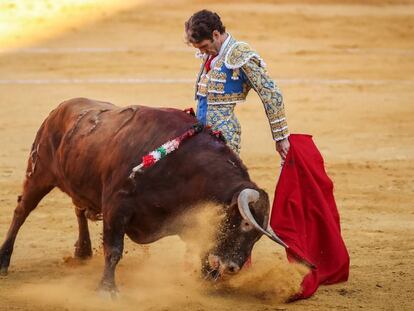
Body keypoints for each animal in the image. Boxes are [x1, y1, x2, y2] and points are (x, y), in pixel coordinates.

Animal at [0, 99, 284, 294]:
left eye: (258, 235)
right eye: (245, 223)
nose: (233, 267)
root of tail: (58, 109)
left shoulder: (187, 216)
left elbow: (204, 246)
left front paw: (205, 280)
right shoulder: (116, 206)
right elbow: (114, 250)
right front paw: (107, 290)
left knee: (78, 209)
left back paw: (83, 251)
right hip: (39, 173)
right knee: (21, 211)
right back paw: (4, 260)